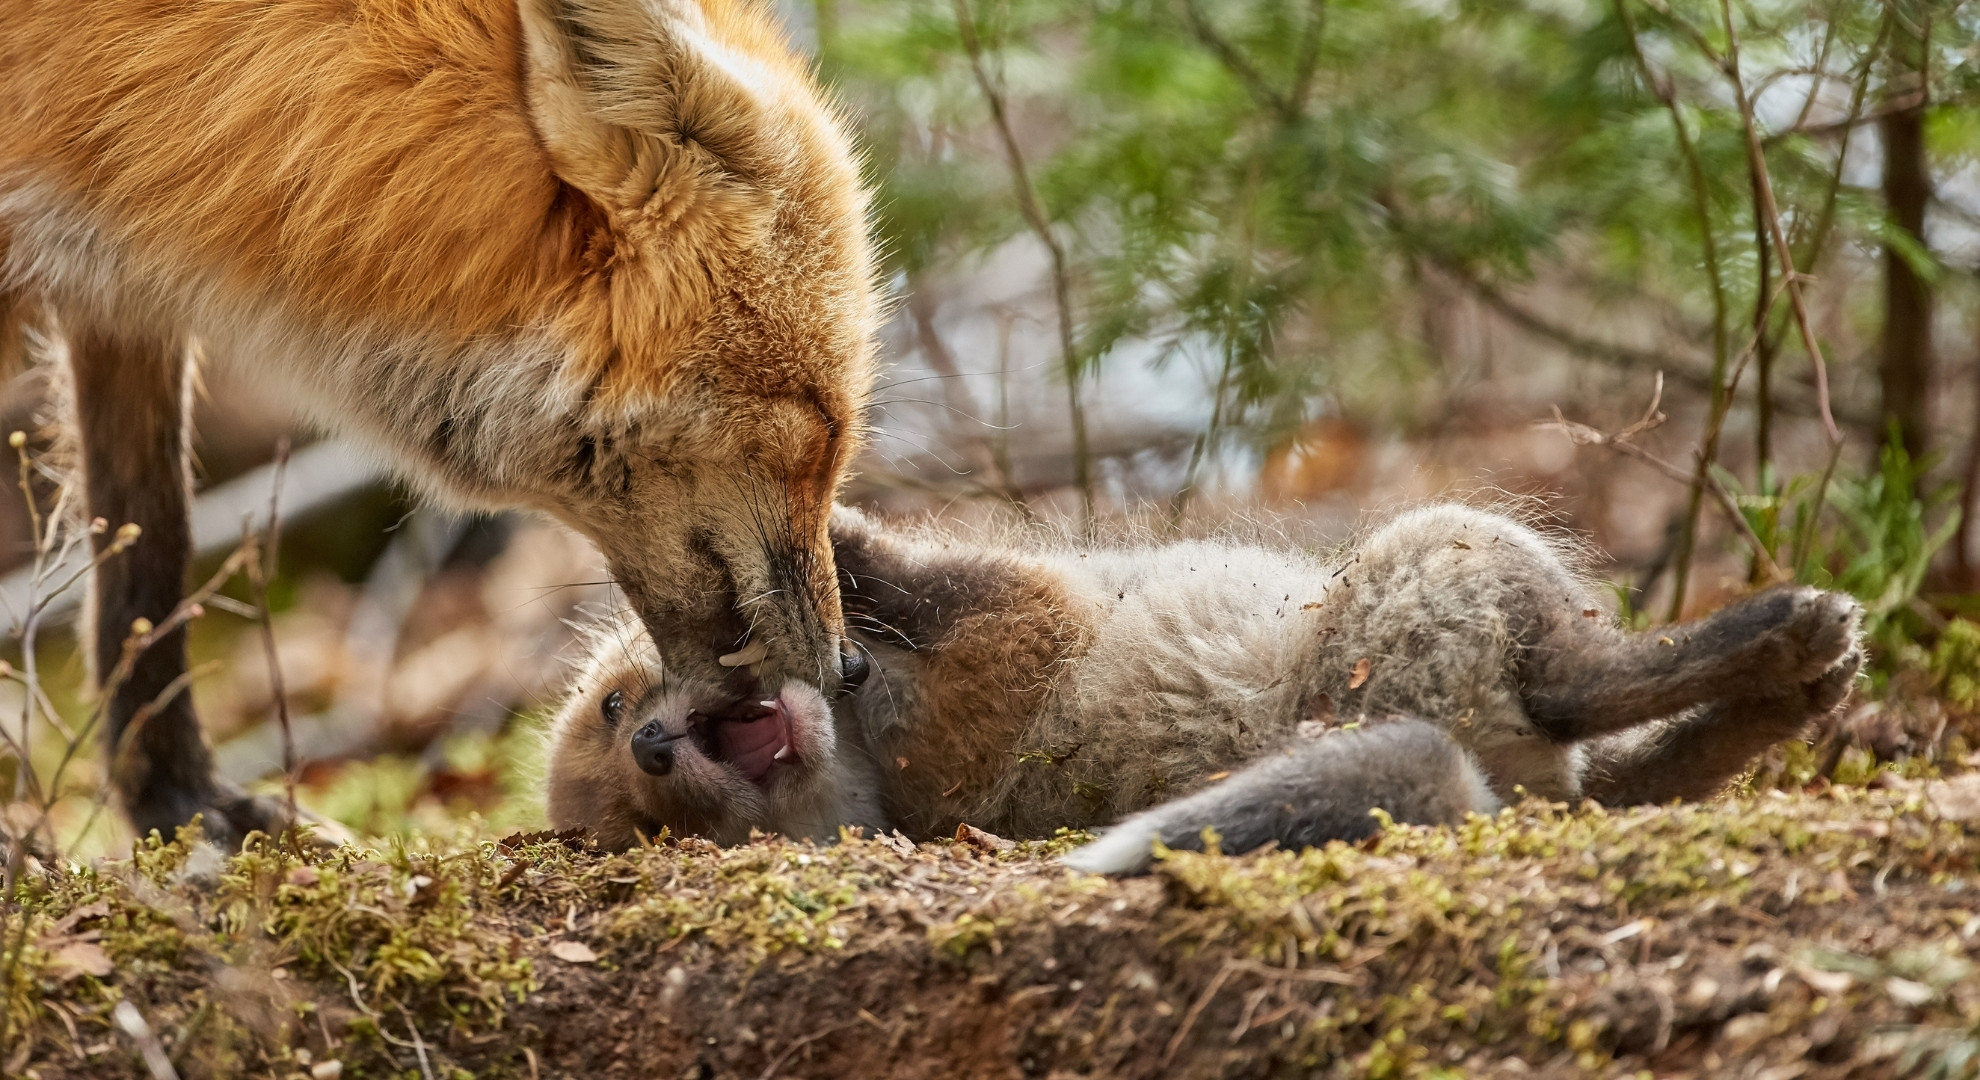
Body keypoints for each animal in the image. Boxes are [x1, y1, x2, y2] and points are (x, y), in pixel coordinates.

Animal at [544, 503, 1864, 870]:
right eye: (656, 823)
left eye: (612, 713)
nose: (656, 750)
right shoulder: (1026, 628)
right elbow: (913, 569)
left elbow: (857, 554)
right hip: (1444, 555)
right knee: (1604, 699)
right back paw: (1783, 648)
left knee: (1631, 773)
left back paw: (1785, 694)